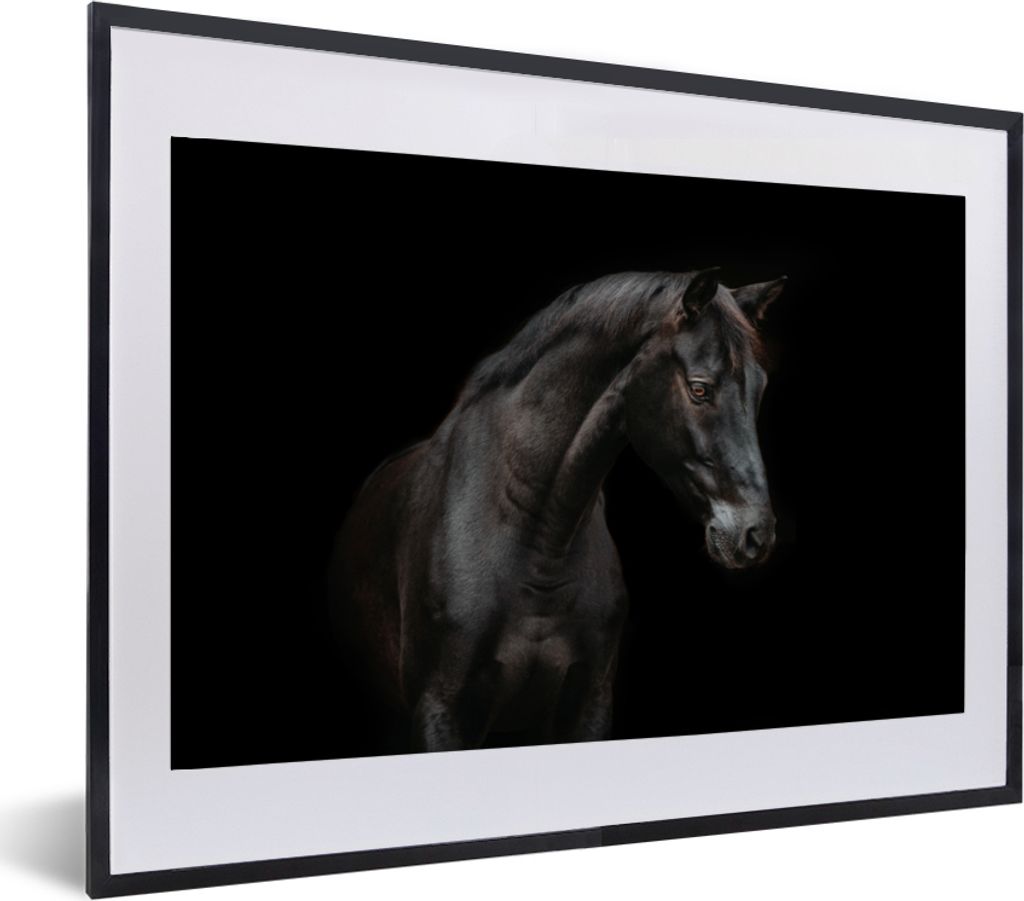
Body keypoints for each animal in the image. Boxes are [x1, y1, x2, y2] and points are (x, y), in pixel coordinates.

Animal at [327, 268, 785, 753]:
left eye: (759, 388)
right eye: (700, 389)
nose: (756, 534)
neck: (537, 545)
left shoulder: (586, 707)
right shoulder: (441, 711)